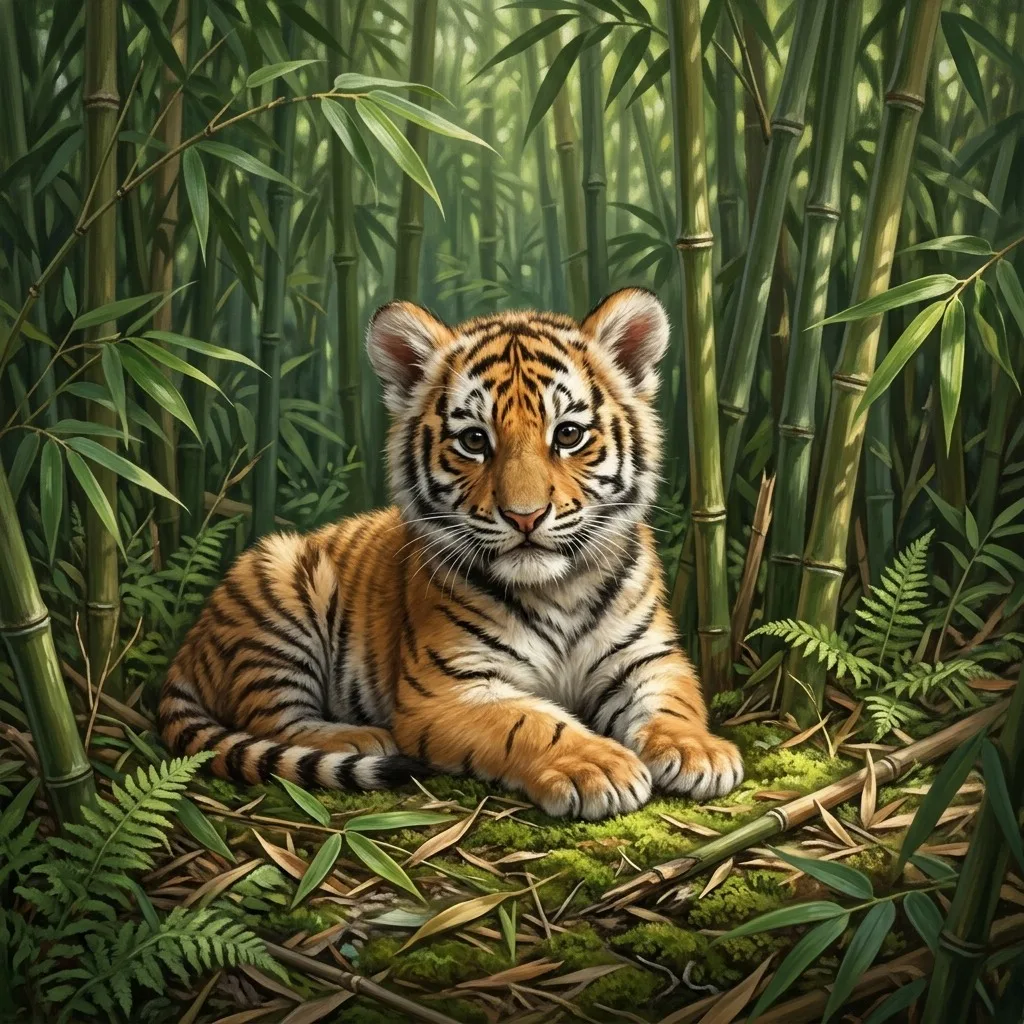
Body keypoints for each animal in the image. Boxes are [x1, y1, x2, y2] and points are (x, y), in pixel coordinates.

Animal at [158, 288, 743, 819]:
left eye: (569, 435)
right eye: (474, 441)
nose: (525, 516)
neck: (557, 588)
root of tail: (186, 648)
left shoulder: (648, 657)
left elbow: (673, 702)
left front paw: (700, 752)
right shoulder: (448, 688)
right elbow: (531, 723)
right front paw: (597, 766)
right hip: (279, 596)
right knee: (269, 719)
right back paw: (359, 737)